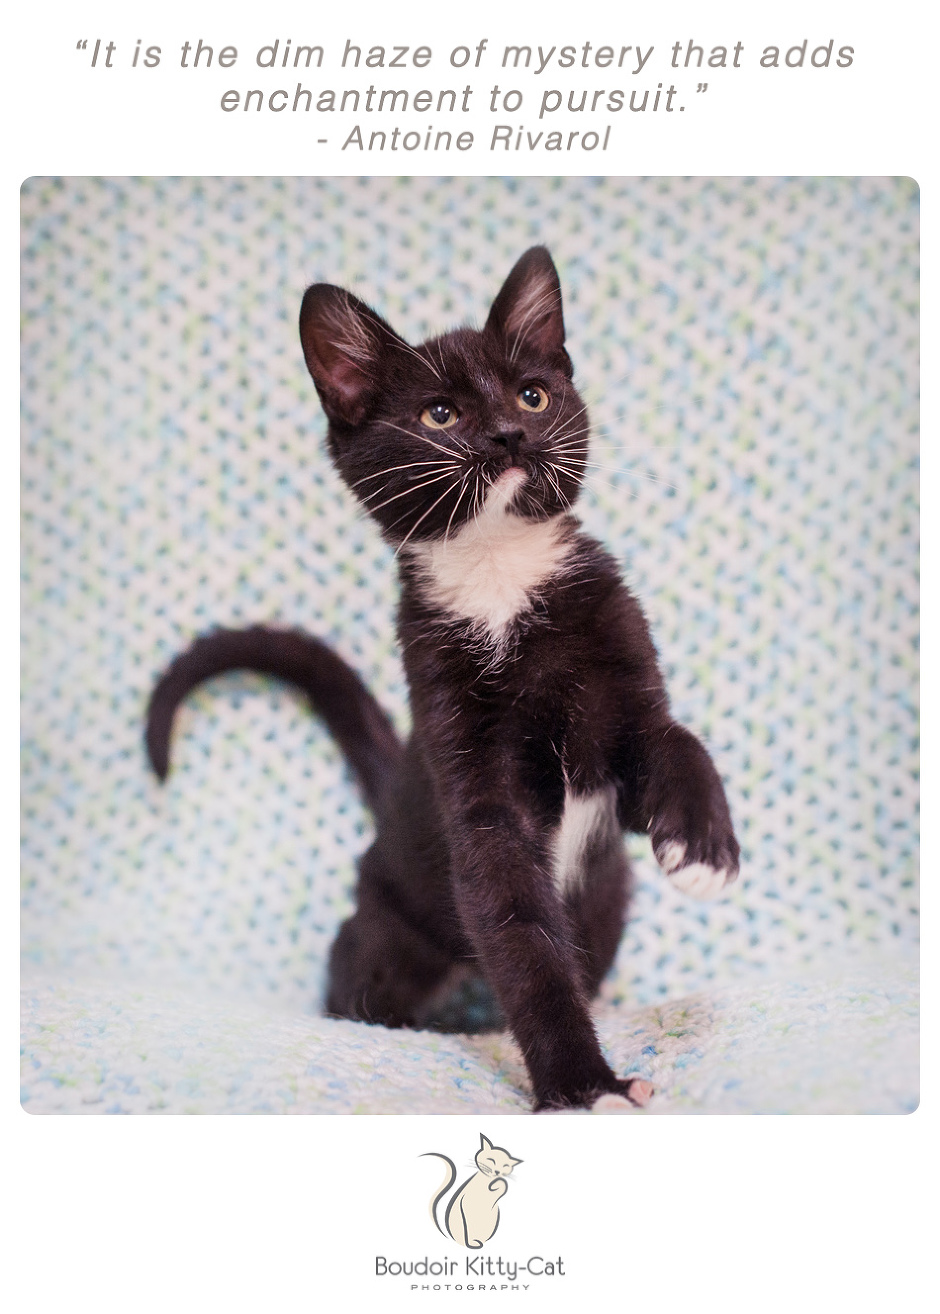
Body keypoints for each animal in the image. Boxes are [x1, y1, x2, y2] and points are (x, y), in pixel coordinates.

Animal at [147, 247, 741, 1109]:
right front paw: (582, 1083)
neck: (501, 580)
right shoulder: (468, 770)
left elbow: (677, 740)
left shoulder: (622, 694)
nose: (510, 433)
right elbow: (519, 932)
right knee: (358, 971)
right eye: (439, 415)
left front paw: (703, 845)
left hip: (608, 895)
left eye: (533, 394)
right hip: (390, 931)